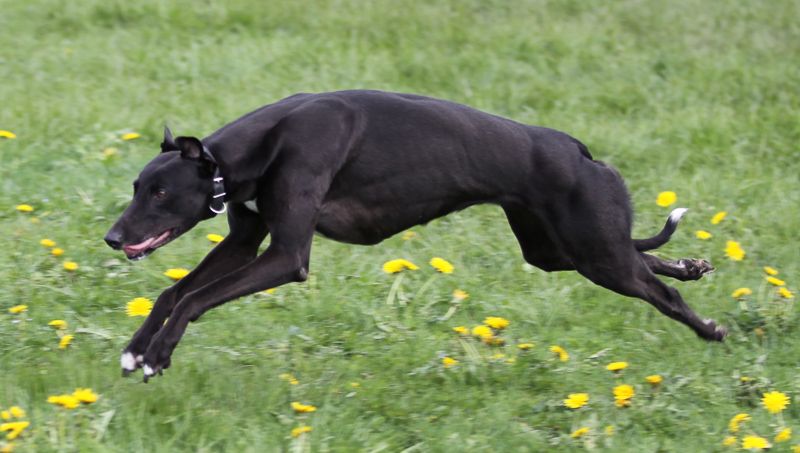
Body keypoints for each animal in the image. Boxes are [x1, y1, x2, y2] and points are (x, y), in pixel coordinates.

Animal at [105, 90, 722, 381]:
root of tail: (579, 151)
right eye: (137, 186)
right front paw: (137, 351)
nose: (111, 237)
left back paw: (711, 329)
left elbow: (197, 298)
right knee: (645, 260)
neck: (255, 148)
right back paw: (691, 267)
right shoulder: (244, 244)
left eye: (158, 194)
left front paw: (157, 355)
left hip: (595, 253)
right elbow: (174, 292)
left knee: (660, 291)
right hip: (557, 250)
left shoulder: (285, 256)